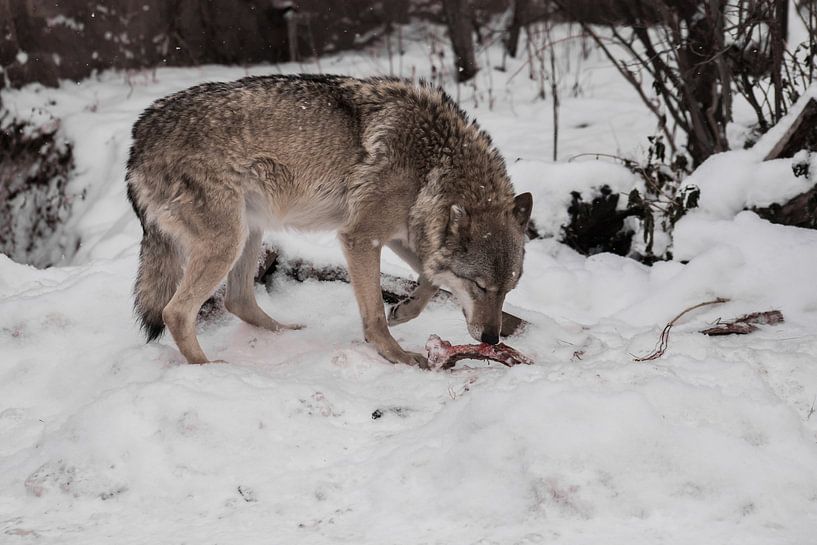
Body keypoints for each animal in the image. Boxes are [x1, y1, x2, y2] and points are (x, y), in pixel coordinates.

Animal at [126, 74, 532, 366]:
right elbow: (375, 315)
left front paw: (403, 311)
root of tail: (139, 138)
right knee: (176, 312)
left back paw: (287, 332)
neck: (433, 163)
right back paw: (208, 368)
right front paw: (395, 354)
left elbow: (432, 280)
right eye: (480, 286)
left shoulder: (402, 235)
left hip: (249, 231)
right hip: (227, 242)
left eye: (508, 289)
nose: (491, 339)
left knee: (237, 300)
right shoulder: (361, 236)